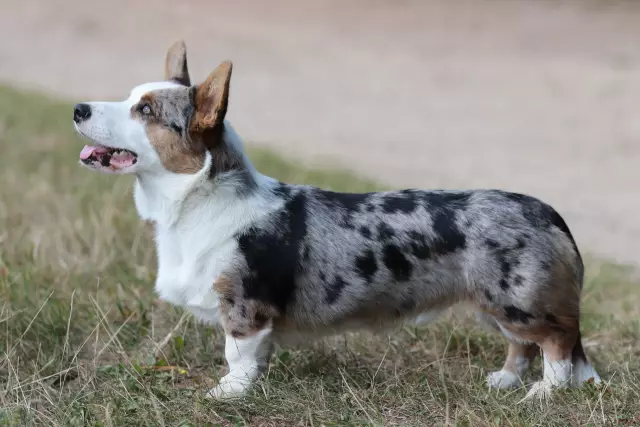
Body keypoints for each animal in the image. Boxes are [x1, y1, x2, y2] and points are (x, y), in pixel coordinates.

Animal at [74, 40, 600, 402]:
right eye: (132, 97)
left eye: (145, 111)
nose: (78, 108)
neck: (198, 199)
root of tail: (547, 212)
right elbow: (255, 357)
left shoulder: (244, 306)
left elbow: (236, 354)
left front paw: (228, 392)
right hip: (496, 305)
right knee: (524, 347)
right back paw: (504, 381)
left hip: (518, 302)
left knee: (556, 343)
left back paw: (542, 394)